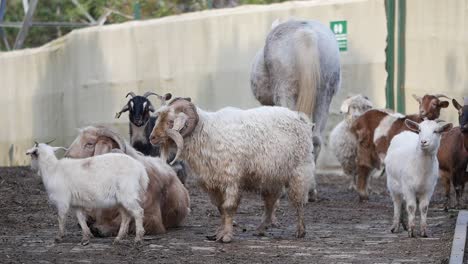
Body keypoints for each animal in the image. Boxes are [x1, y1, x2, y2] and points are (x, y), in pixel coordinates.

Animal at [148, 96, 316, 242]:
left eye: (170, 121)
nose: (152, 138)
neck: (205, 134)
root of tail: (300, 118)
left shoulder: (231, 179)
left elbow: (228, 208)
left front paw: (227, 236)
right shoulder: (213, 183)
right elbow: (220, 209)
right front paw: (218, 233)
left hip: (299, 171)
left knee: (298, 201)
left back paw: (300, 231)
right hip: (271, 176)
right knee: (271, 202)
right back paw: (261, 228)